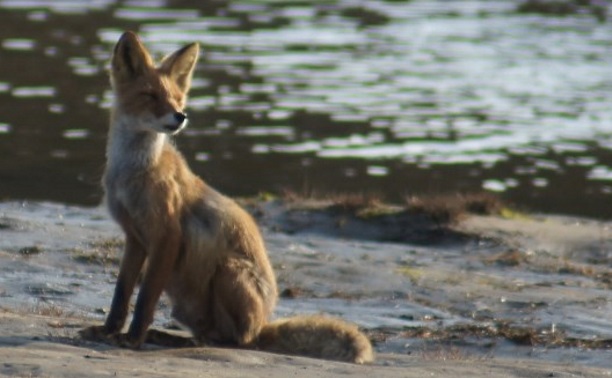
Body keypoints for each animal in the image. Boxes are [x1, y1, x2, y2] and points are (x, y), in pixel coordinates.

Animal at [79, 31, 376, 364]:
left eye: (178, 98)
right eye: (151, 96)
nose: (180, 116)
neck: (132, 174)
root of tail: (262, 324)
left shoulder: (167, 236)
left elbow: (145, 299)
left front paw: (131, 339)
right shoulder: (135, 237)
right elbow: (121, 294)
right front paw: (108, 331)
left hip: (228, 272)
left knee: (235, 341)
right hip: (186, 305)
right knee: (210, 334)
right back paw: (170, 338)